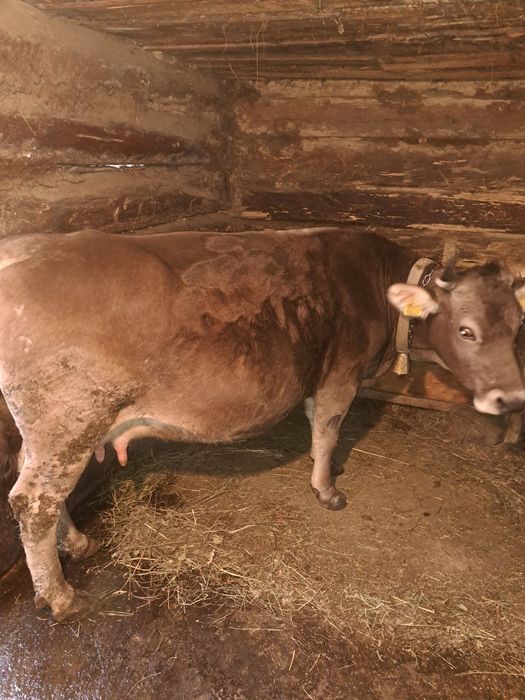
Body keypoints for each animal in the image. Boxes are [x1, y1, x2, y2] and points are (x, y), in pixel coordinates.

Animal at [0, 227, 523, 622]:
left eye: (517, 324)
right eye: (466, 330)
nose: (512, 396)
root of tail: (20, 249)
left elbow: (316, 424)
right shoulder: (341, 373)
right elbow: (330, 426)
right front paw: (326, 488)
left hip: (50, 429)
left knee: (31, 475)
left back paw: (75, 542)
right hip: (69, 419)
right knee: (35, 502)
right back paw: (61, 596)